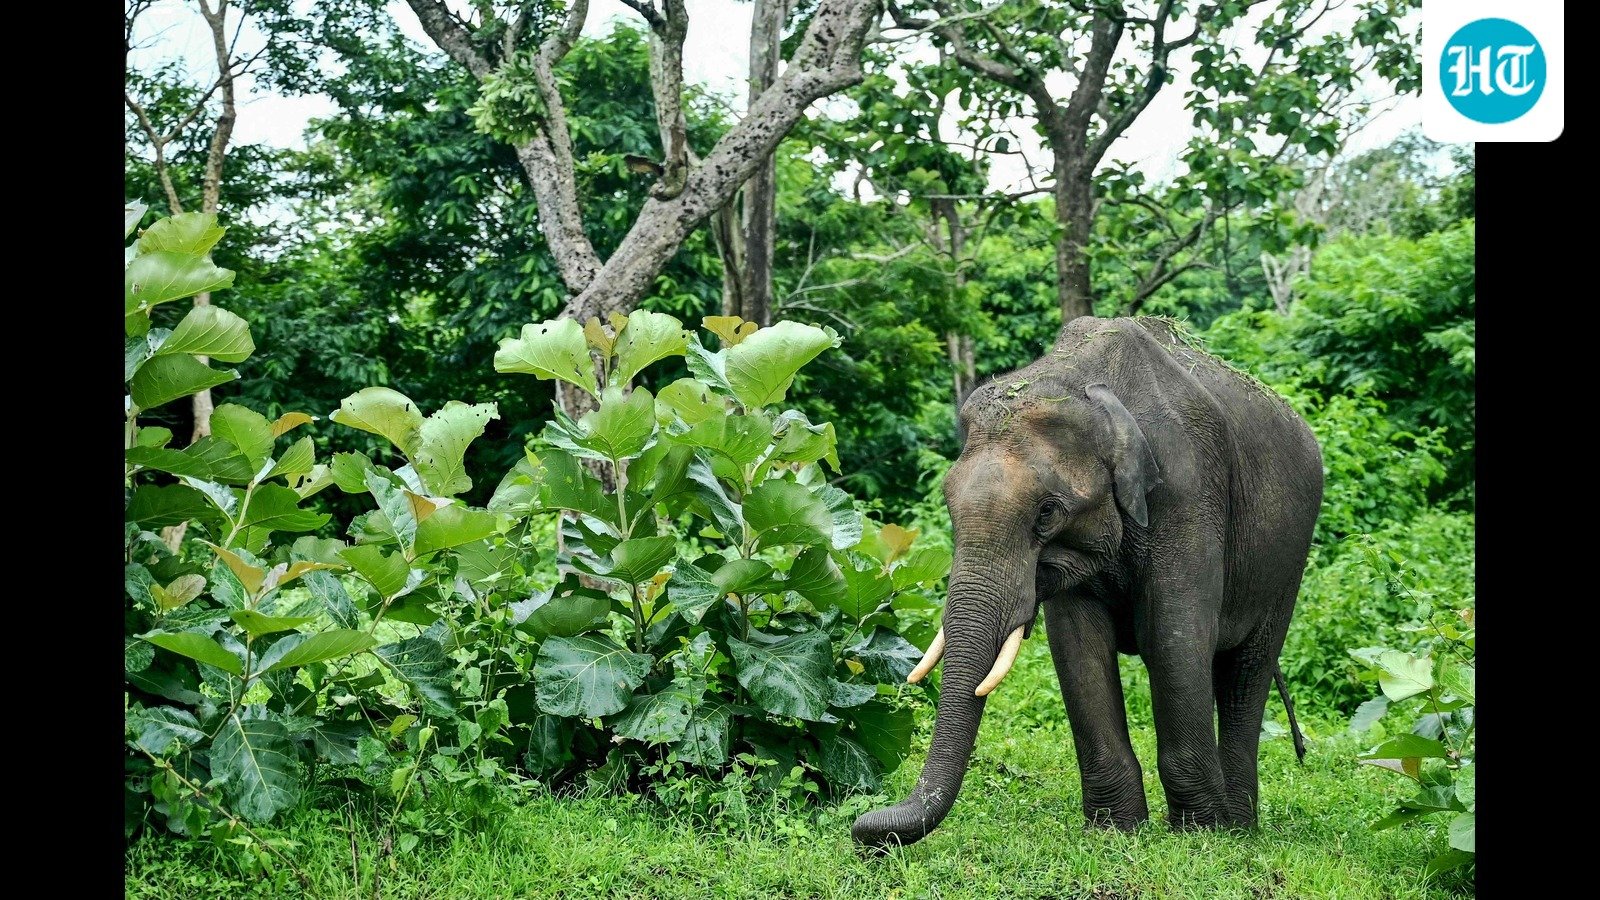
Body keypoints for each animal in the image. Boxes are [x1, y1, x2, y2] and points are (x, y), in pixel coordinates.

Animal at [851, 316, 1323, 849]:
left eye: (1046, 513)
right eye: (948, 504)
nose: (864, 830)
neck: (1086, 385)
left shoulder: (1189, 491)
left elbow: (1173, 637)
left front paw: (1201, 837)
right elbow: (1078, 645)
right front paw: (1116, 832)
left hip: (1289, 559)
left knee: (1247, 670)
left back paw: (1238, 829)